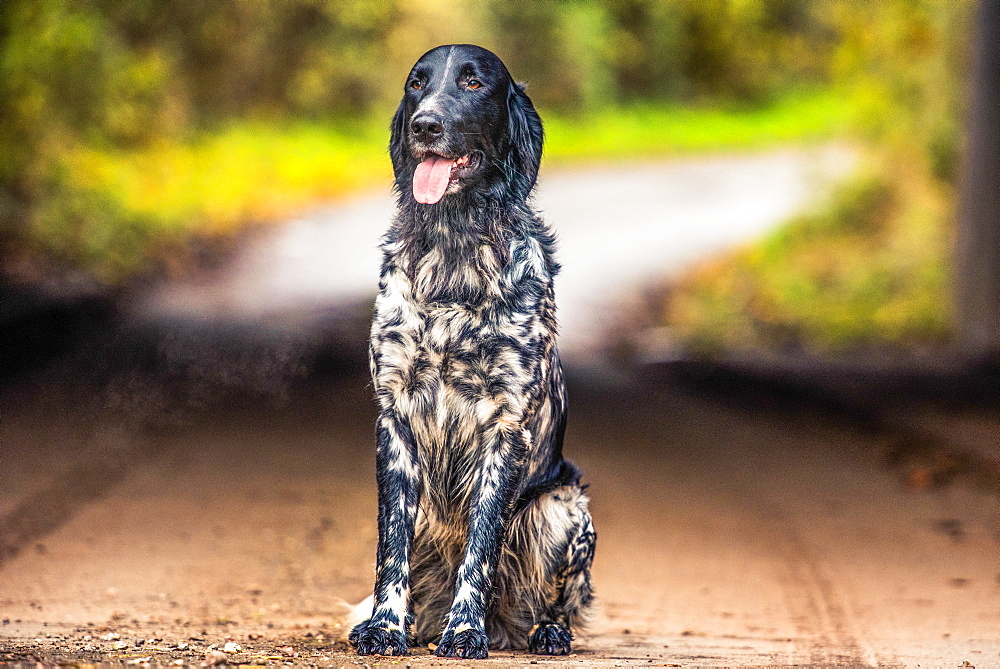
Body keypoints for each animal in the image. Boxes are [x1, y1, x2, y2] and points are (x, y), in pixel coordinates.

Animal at [348, 45, 588, 656]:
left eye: (474, 82)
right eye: (416, 84)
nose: (424, 125)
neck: (454, 249)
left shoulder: (505, 427)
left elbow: (480, 548)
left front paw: (464, 630)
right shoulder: (395, 420)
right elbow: (390, 549)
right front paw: (385, 626)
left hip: (565, 507)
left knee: (557, 602)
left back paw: (545, 631)